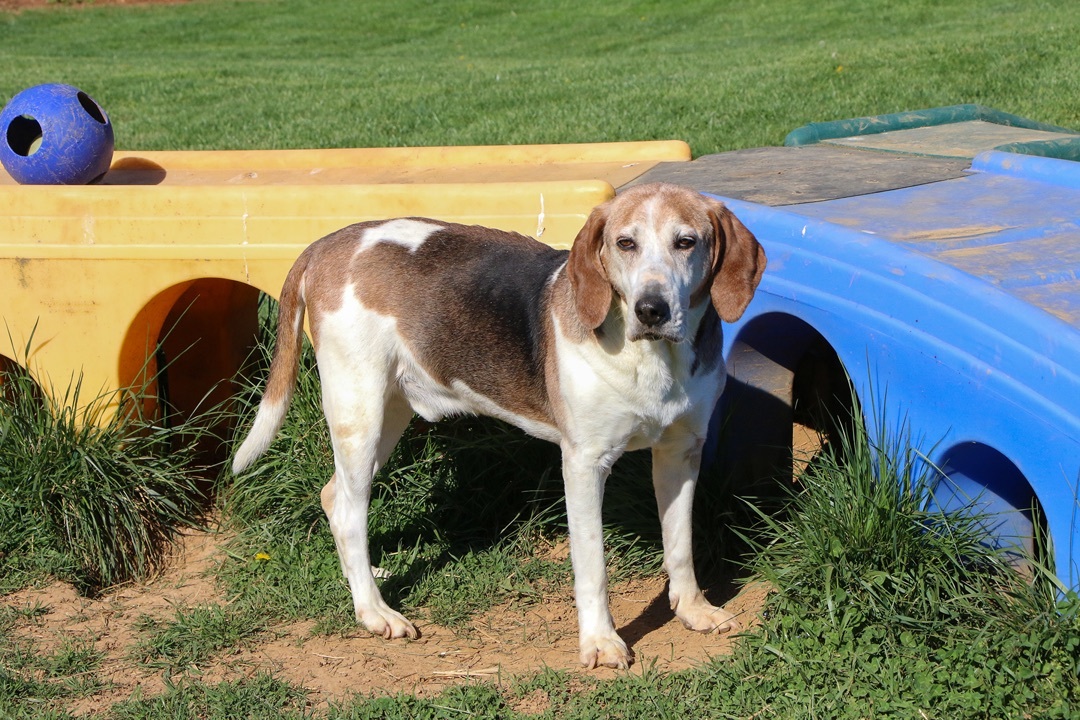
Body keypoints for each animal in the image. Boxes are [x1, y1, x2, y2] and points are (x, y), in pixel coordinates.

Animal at [232, 181, 764, 669]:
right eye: (625, 243)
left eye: (686, 241)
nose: (651, 309)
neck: (653, 360)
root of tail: (329, 243)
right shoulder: (585, 464)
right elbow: (593, 566)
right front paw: (599, 642)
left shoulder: (682, 452)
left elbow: (681, 545)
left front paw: (693, 610)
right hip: (358, 413)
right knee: (347, 510)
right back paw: (373, 612)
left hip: (388, 413)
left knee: (334, 496)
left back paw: (365, 580)